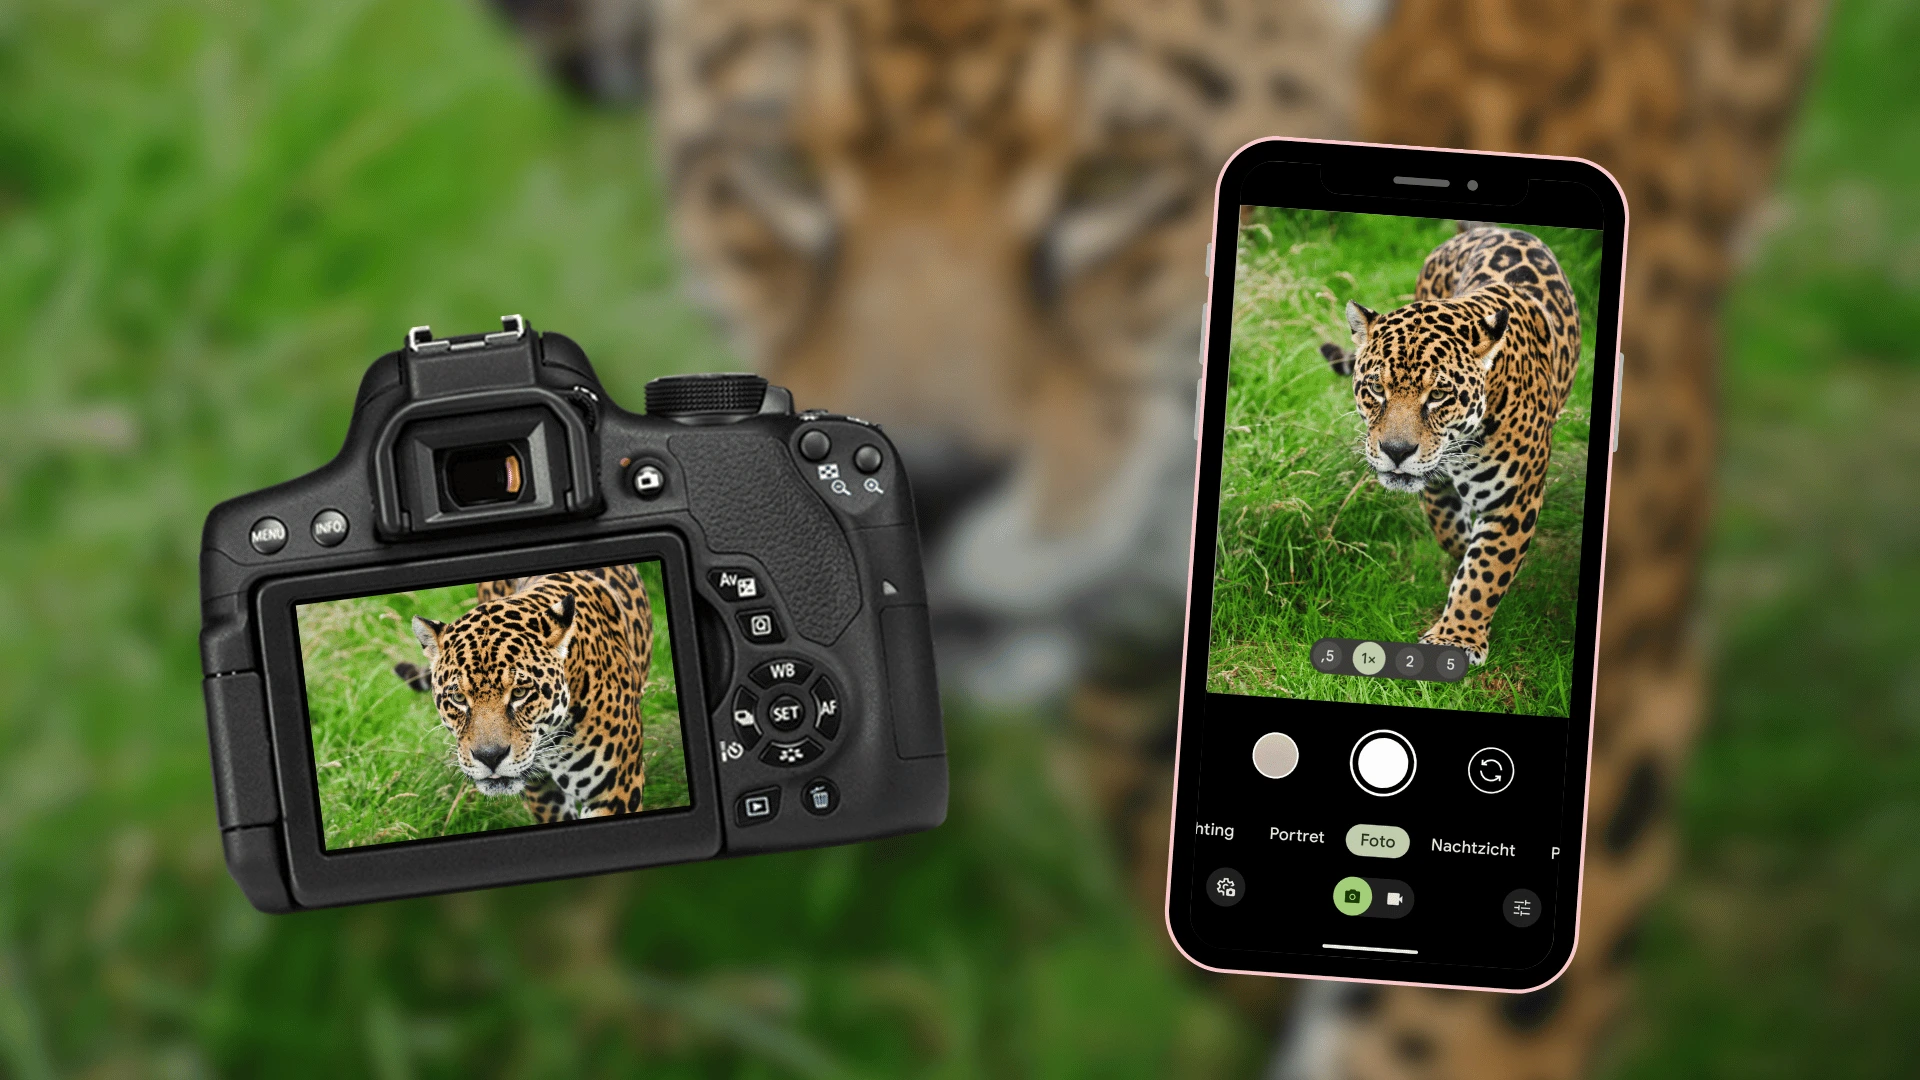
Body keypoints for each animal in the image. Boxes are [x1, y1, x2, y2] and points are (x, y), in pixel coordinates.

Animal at [1327, 225, 1581, 664]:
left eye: (1439, 395)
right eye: (1376, 388)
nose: (1396, 451)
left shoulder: (1515, 499)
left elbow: (1486, 571)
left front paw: (1456, 639)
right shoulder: (1435, 482)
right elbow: (1447, 529)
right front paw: (1461, 550)